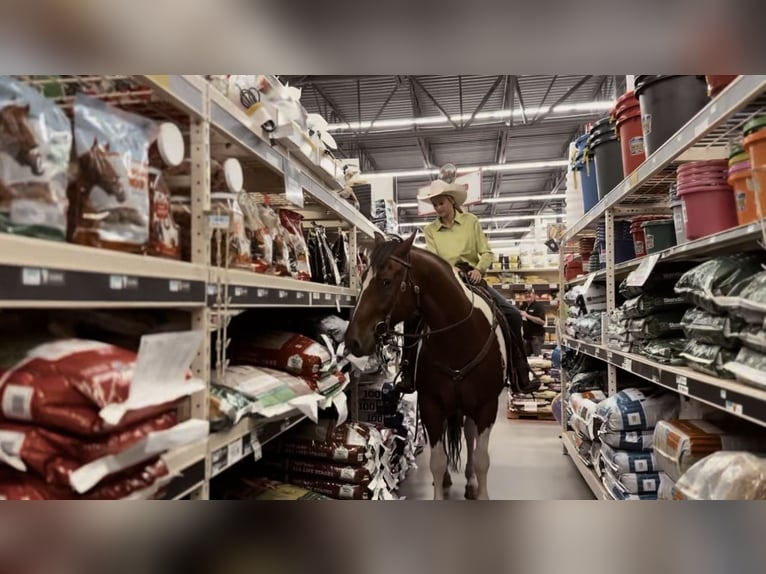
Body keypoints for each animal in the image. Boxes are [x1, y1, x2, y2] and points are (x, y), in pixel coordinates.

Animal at [348, 233, 510, 500]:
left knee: (469, 436)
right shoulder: (431, 405)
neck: (459, 339)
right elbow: (437, 461)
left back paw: (470, 482)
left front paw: (480, 492)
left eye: (386, 281)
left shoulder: (487, 406)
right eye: (362, 279)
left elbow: (481, 459)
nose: (352, 339)